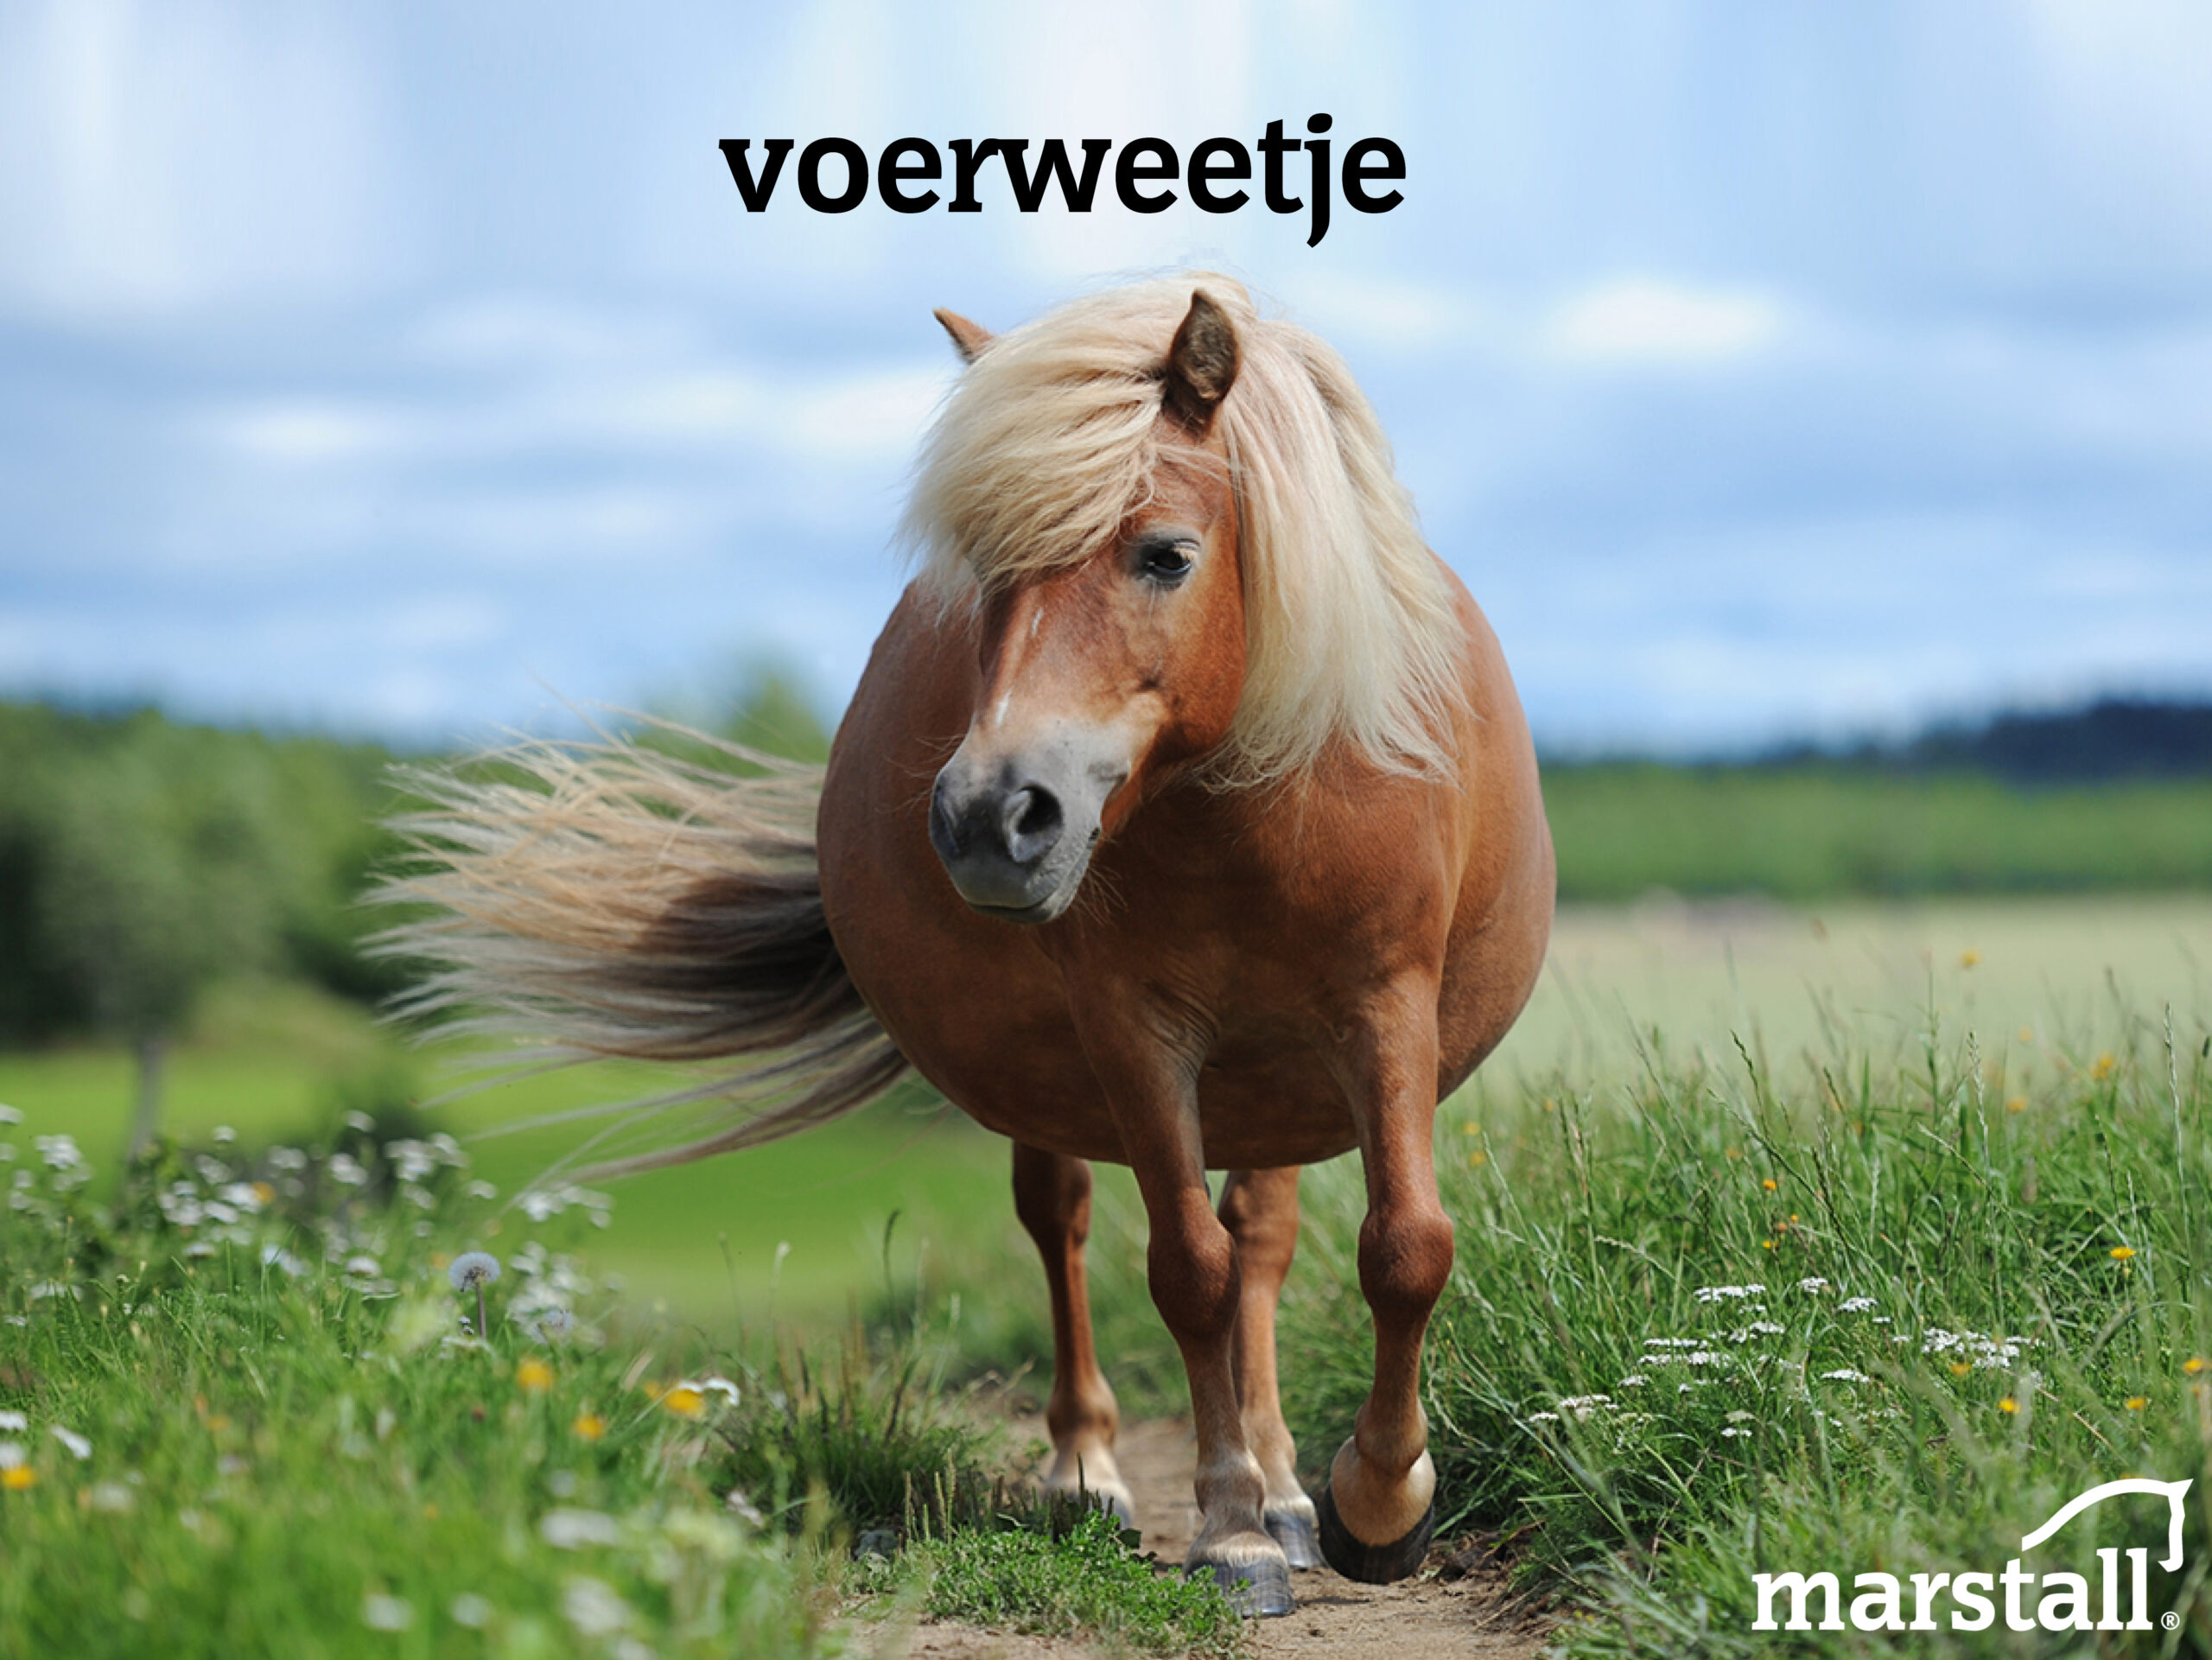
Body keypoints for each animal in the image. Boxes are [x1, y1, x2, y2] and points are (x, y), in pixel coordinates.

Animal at [386, 274, 1555, 1616]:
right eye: (987, 574)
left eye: (1166, 554)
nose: (993, 816)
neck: (1250, 808)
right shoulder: (1134, 1032)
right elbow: (1187, 1270)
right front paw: (1230, 1531)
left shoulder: (1383, 1008)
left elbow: (1403, 1248)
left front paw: (1375, 1504)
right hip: (1069, 1081)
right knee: (1068, 1224)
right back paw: (1097, 1476)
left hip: (1277, 1079)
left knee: (1263, 1238)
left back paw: (1288, 1489)